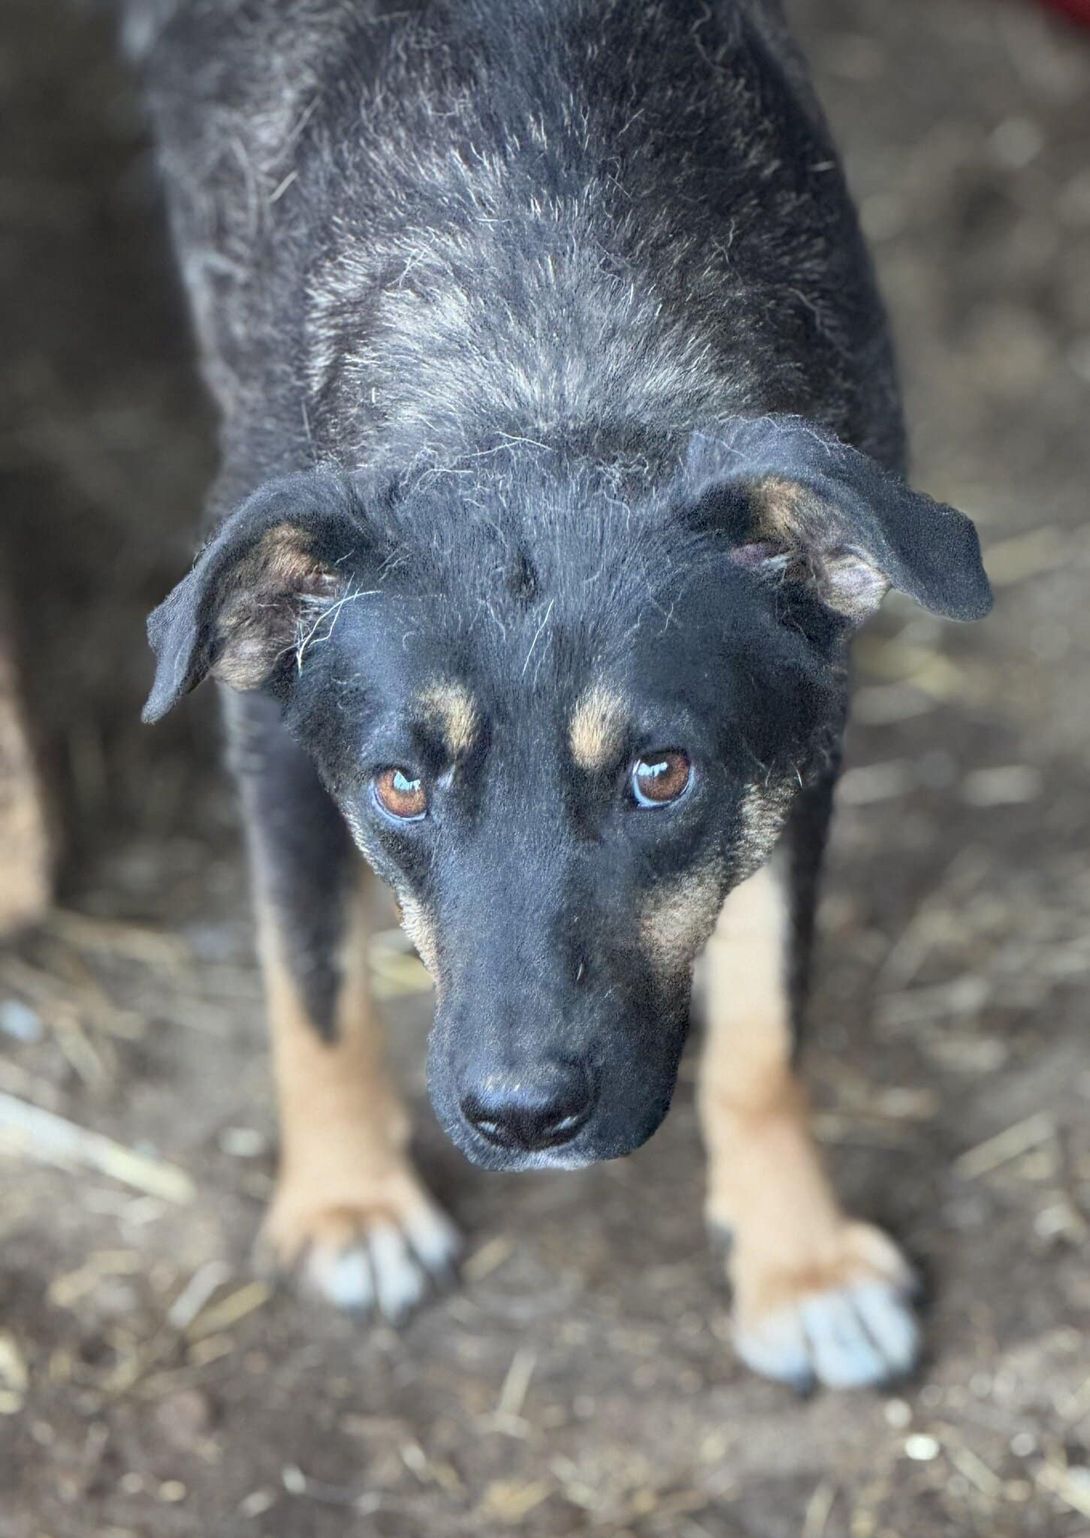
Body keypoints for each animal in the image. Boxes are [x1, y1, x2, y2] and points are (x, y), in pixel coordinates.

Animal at [131, 0, 991, 1390]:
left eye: (660, 773)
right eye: (400, 785)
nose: (525, 1118)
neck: (543, 351)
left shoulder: (801, 747)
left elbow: (762, 1032)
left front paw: (795, 1260)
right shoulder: (265, 729)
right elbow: (309, 979)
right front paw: (348, 1200)